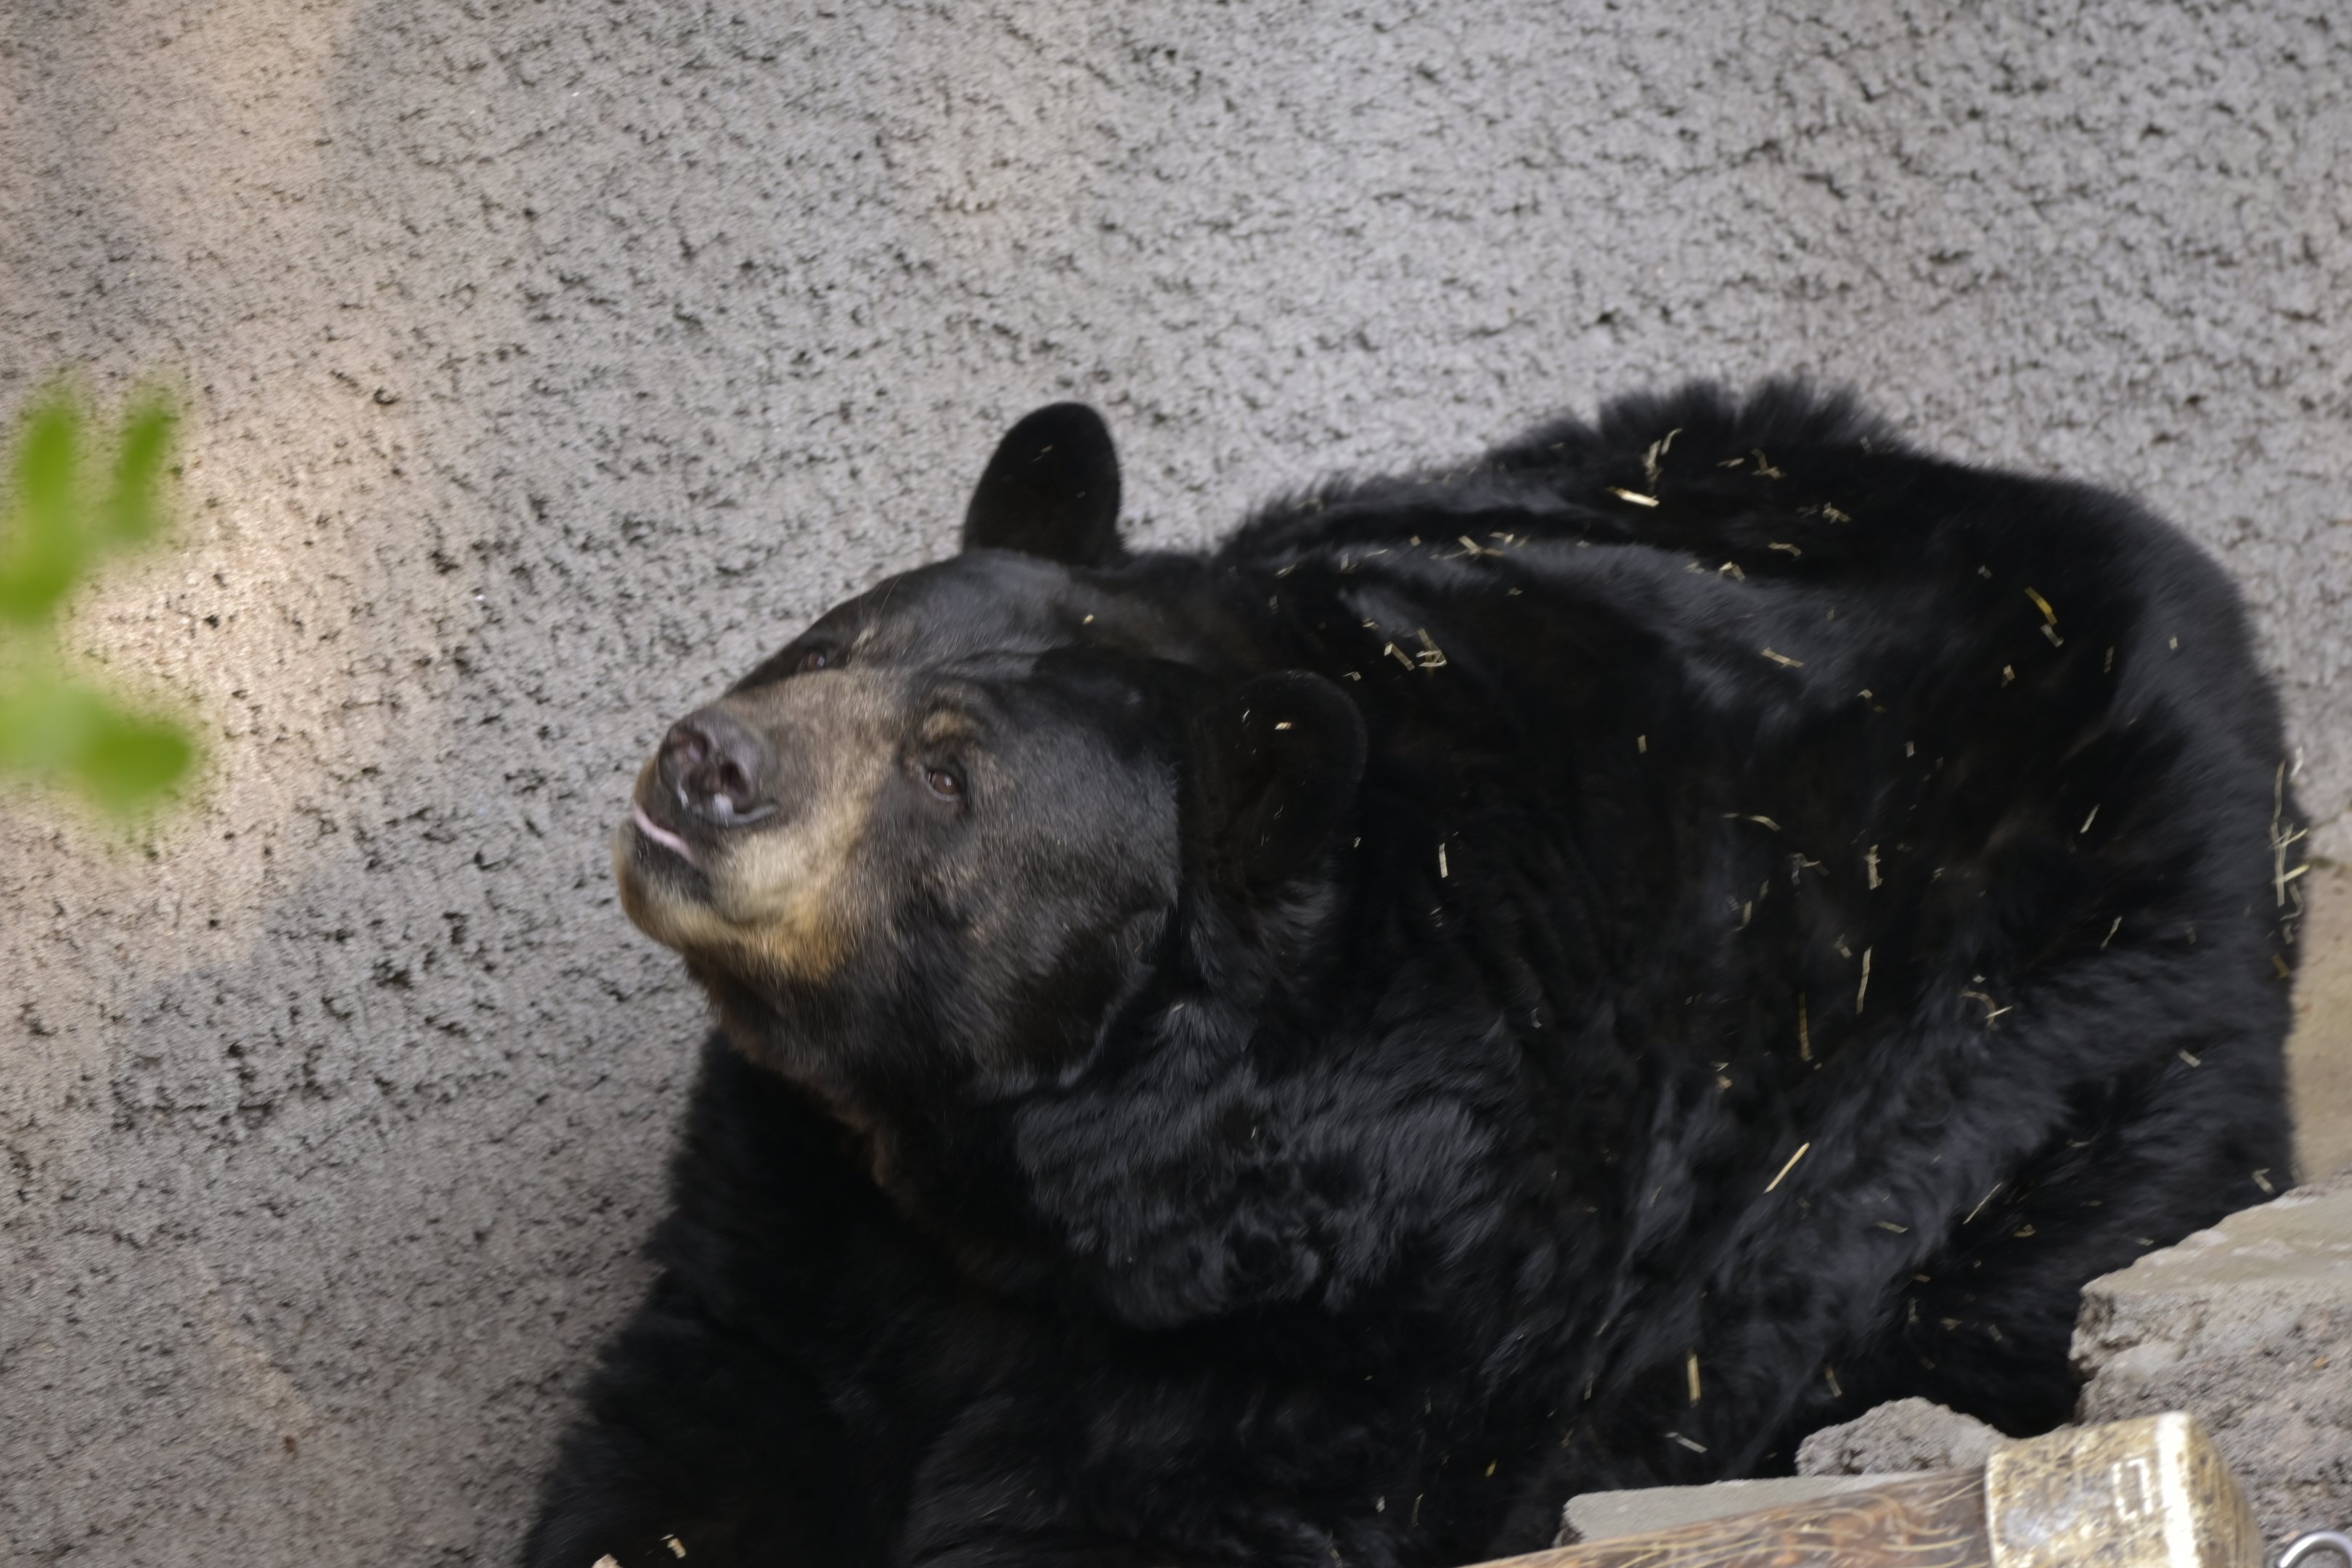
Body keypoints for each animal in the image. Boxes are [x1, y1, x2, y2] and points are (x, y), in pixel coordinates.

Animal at [525, 383, 2299, 1568]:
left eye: (950, 774)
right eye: (835, 645)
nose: (708, 767)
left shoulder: (1359, 1306)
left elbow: (1144, 1512)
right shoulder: (802, 1203)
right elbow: (702, 1431)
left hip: (2060, 1053)